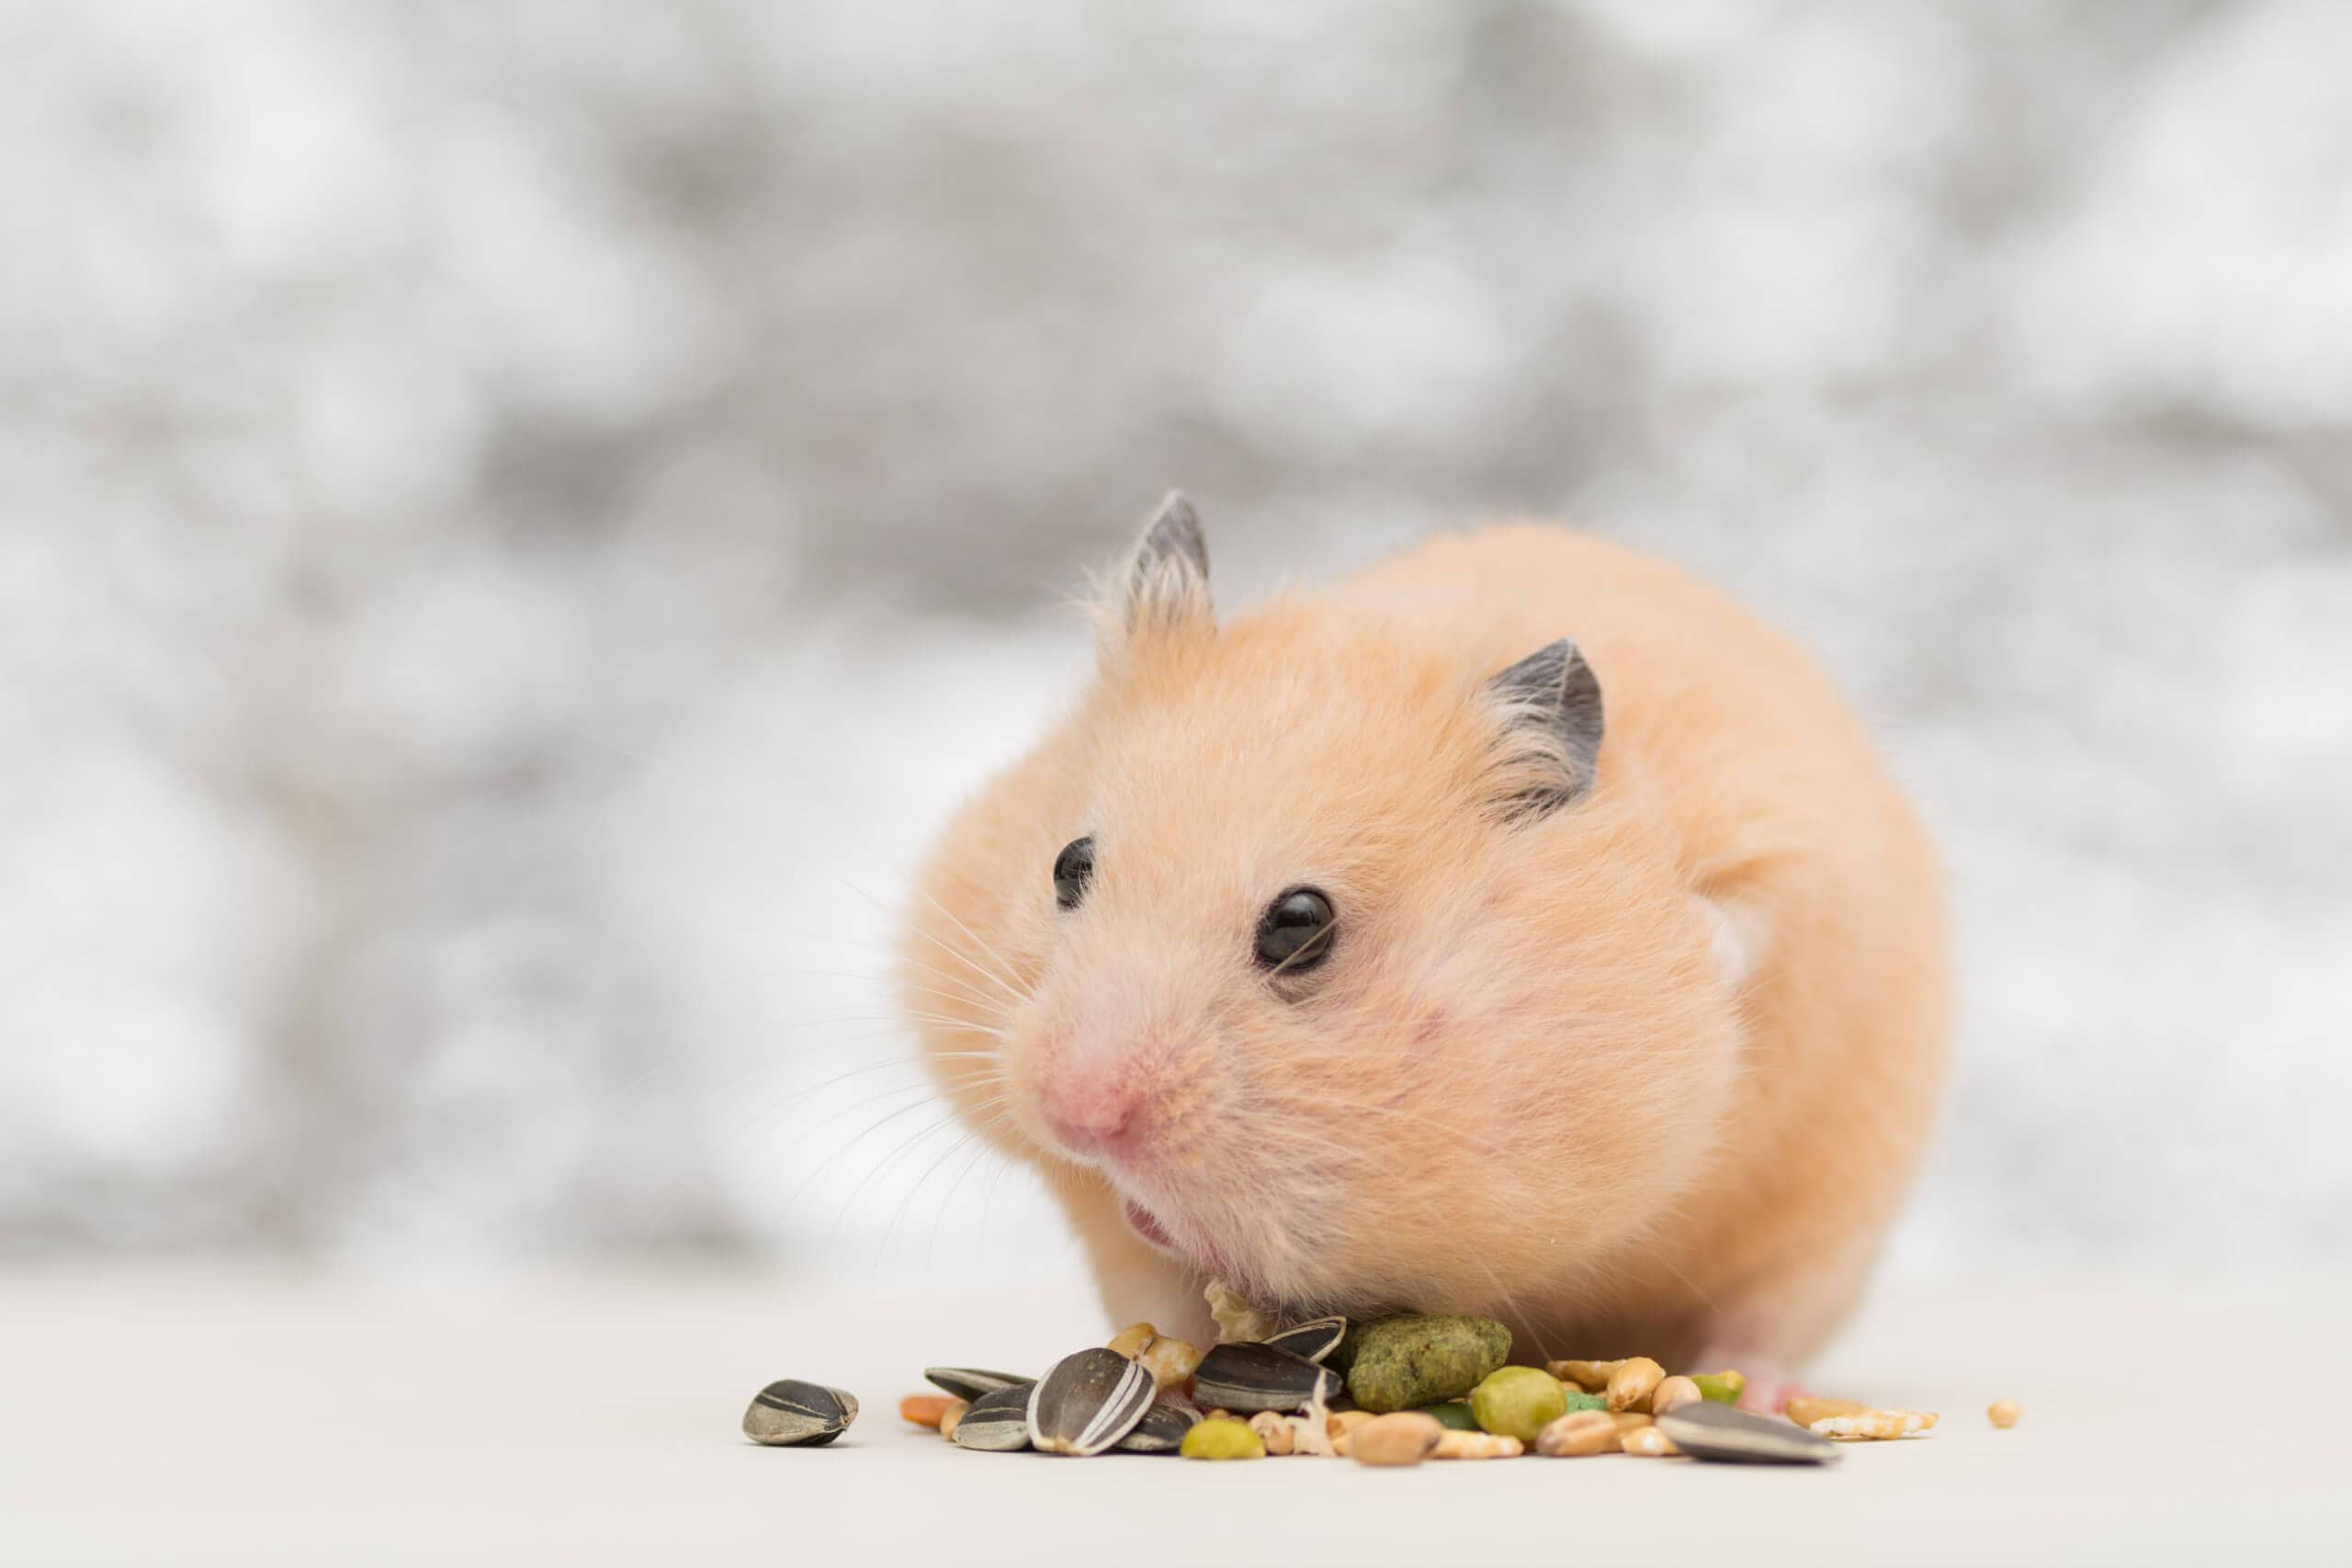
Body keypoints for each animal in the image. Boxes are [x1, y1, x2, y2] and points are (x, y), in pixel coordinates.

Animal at [898, 495, 1947, 1392]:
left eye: (1300, 924)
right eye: (1067, 864)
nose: (1075, 1115)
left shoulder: (1786, 866)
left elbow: (1738, 929)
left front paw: (1700, 945)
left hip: (1828, 1230)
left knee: (1763, 1323)